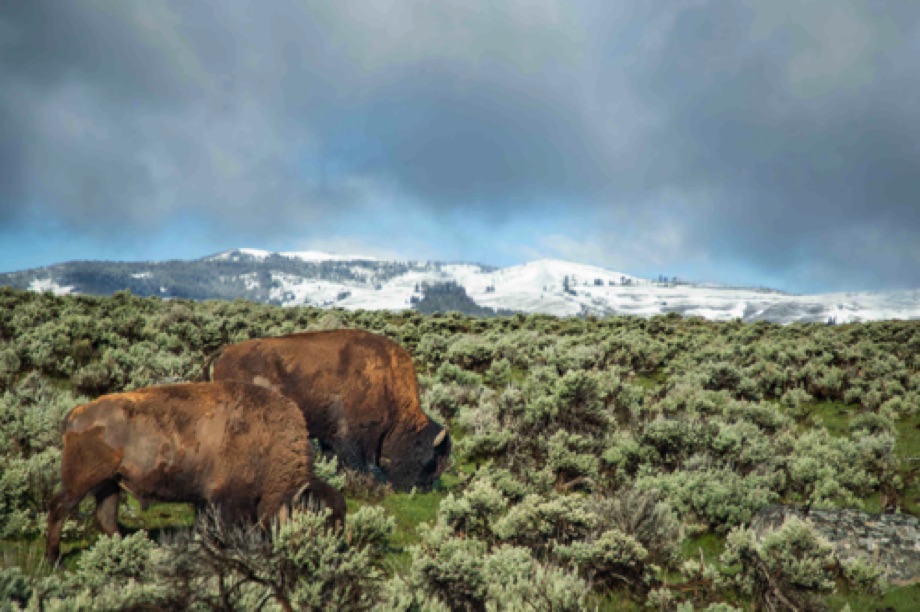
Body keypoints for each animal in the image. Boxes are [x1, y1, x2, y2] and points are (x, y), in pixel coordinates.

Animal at [47, 382, 320, 564]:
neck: (268, 440)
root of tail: (78, 413)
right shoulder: (228, 500)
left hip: (109, 483)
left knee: (105, 517)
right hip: (81, 480)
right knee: (59, 507)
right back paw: (53, 558)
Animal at [208, 330, 452, 492]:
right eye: (430, 462)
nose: (421, 489)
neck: (386, 382)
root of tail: (226, 353)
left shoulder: (330, 435)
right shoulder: (355, 436)